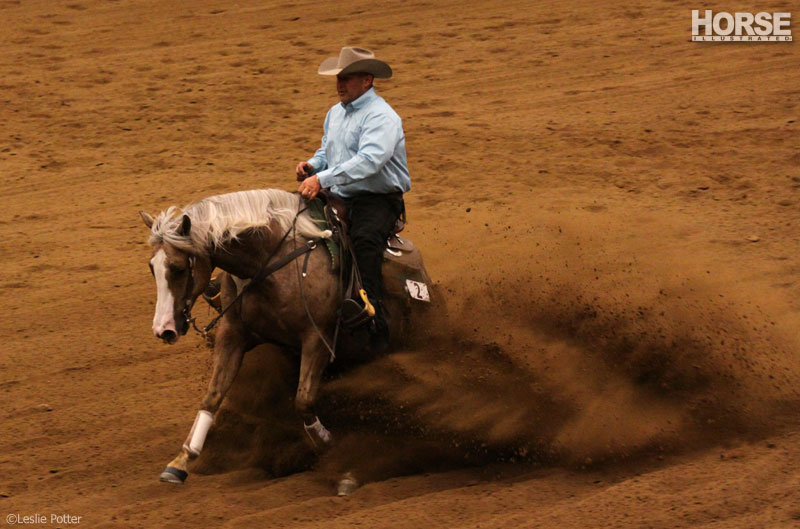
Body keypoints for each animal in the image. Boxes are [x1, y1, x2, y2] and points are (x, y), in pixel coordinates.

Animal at [141, 188, 434, 492]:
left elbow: (303, 401)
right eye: (152, 267)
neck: (271, 262)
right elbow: (212, 396)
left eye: (177, 268)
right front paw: (181, 461)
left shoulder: (317, 338)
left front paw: (332, 450)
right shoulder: (233, 334)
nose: (164, 329)